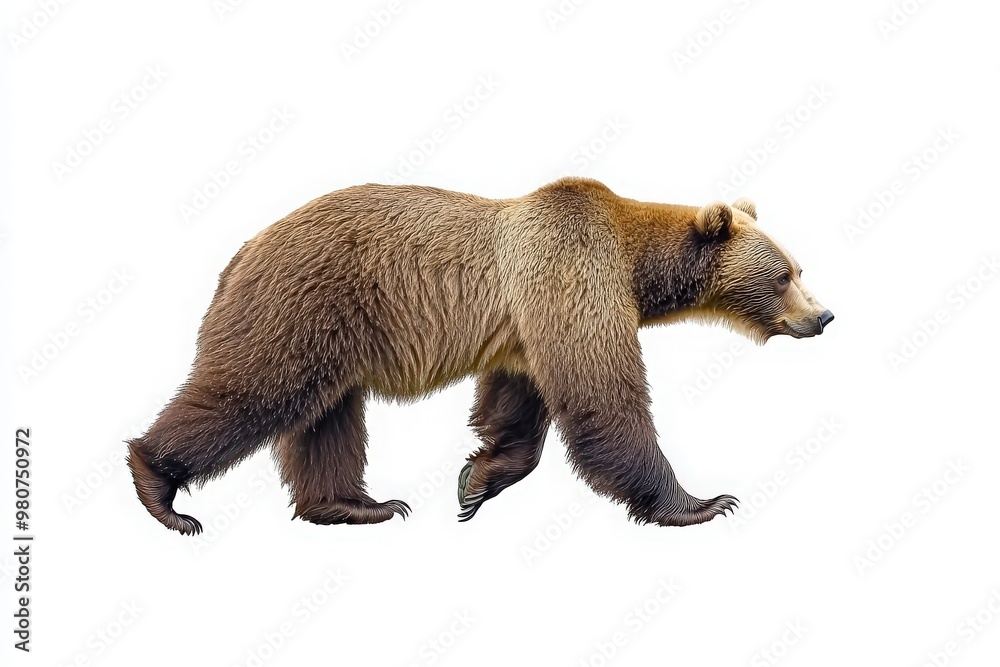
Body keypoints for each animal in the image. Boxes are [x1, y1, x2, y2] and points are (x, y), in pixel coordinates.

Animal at [126, 177, 833, 535]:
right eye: (784, 276)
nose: (822, 316)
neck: (638, 268)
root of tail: (241, 250)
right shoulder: (572, 272)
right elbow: (603, 395)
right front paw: (701, 502)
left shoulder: (524, 328)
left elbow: (519, 403)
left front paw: (477, 480)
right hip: (302, 304)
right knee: (251, 392)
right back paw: (160, 489)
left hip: (333, 335)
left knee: (328, 419)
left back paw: (357, 505)